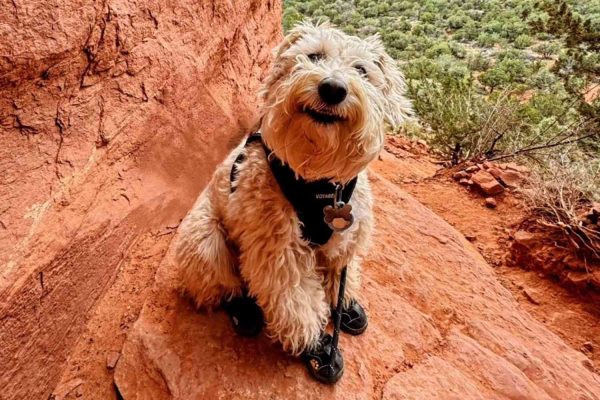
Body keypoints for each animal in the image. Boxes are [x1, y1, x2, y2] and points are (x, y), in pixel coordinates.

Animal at [175, 20, 412, 382]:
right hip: (204, 241)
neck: (320, 182)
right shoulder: (278, 247)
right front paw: (316, 345)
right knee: (225, 284)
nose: (333, 89)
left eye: (362, 70)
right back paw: (245, 312)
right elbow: (295, 299)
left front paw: (343, 303)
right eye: (313, 56)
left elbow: (340, 269)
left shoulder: (346, 232)